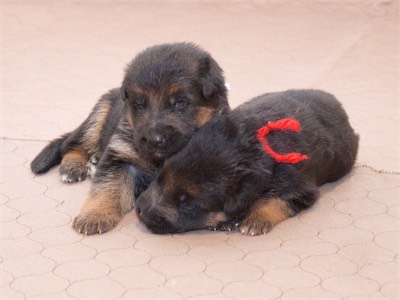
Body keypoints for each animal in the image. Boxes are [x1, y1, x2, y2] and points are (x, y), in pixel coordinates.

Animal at [29, 42, 230, 234]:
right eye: (139, 104)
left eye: (180, 103)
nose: (154, 139)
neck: (158, 160)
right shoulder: (120, 157)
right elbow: (106, 188)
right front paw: (94, 215)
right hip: (99, 116)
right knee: (73, 144)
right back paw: (73, 166)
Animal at [136, 90, 358, 236]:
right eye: (160, 178)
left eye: (187, 204)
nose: (141, 213)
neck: (249, 145)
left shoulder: (298, 186)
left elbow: (275, 199)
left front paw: (255, 219)